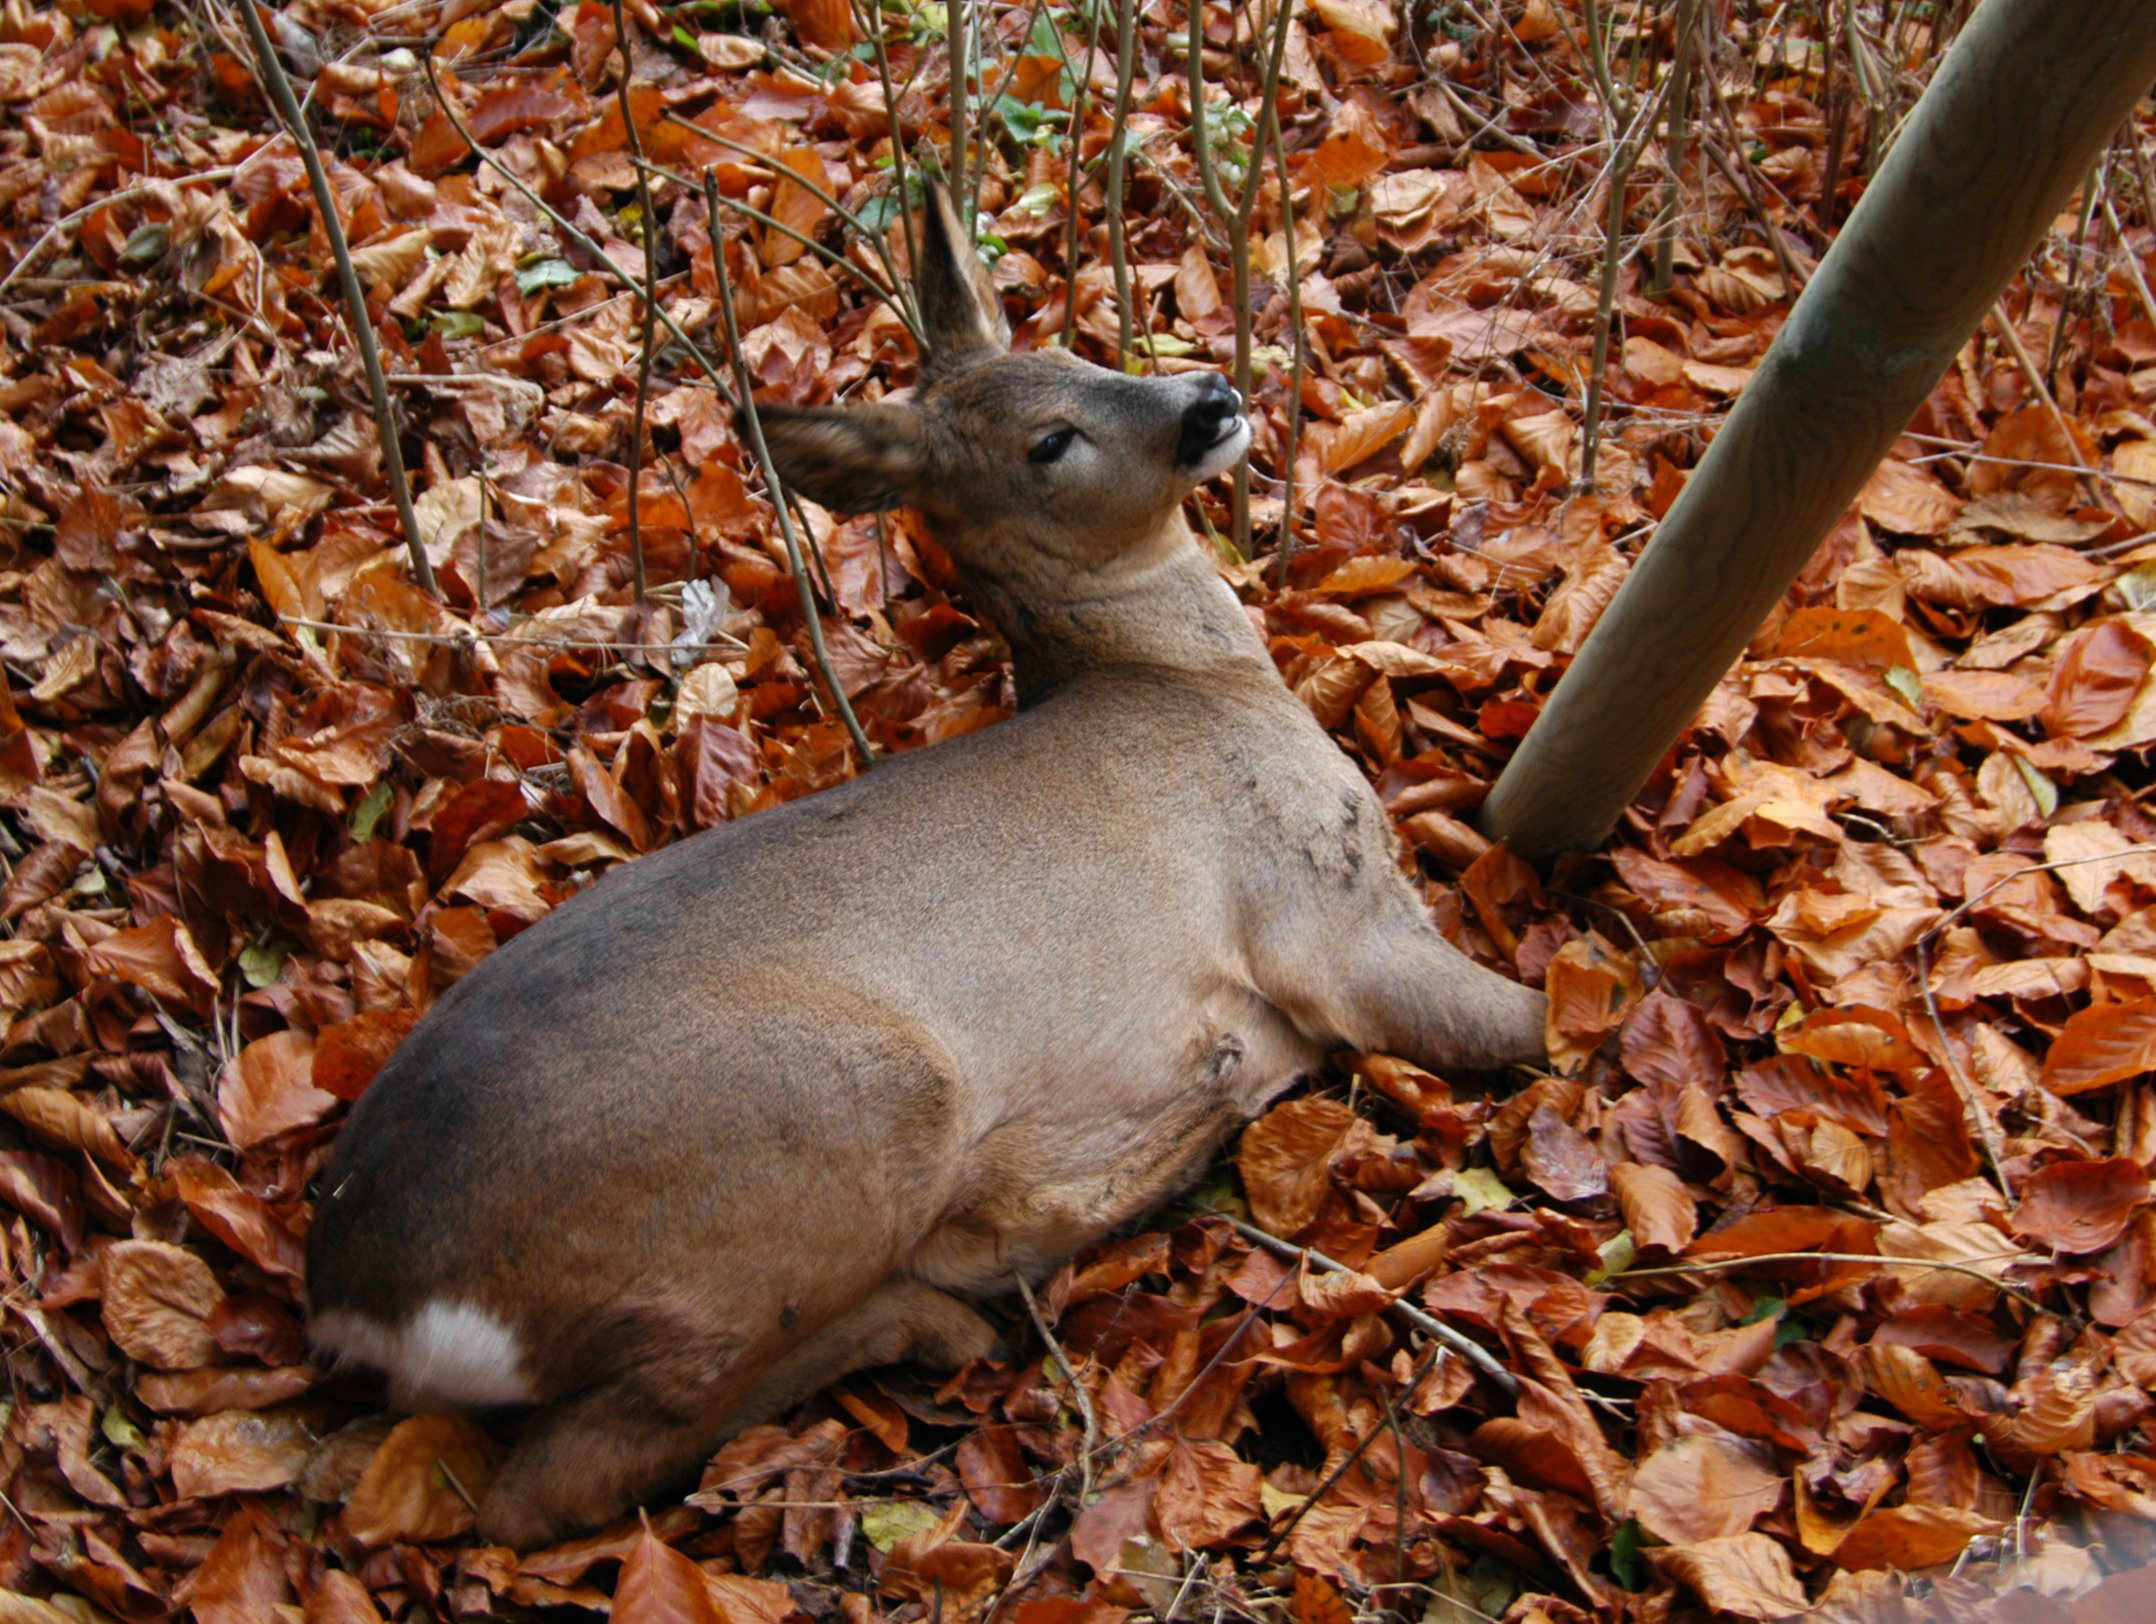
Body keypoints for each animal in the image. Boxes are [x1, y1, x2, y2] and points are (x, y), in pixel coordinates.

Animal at [308, 183, 1552, 1535]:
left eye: (1074, 351)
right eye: (1049, 442)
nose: (1209, 397)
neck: (1177, 677)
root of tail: (365, 1295)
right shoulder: (1324, 916)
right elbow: (1530, 1018)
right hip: (844, 1120)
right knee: (554, 1484)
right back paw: (971, 1286)